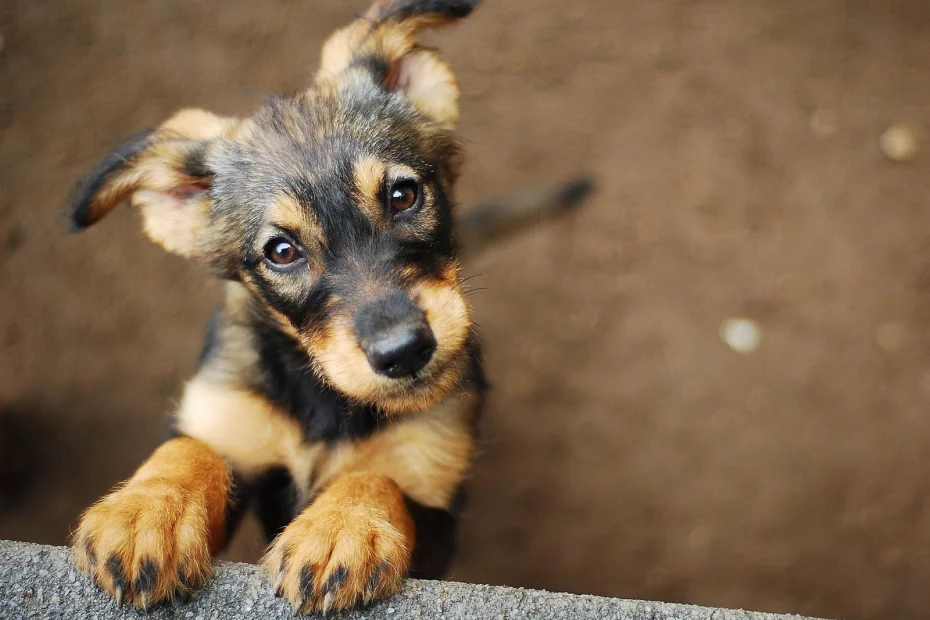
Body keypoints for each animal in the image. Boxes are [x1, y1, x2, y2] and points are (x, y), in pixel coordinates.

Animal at [67, 0, 588, 612]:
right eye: (281, 251)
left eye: (403, 195)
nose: (404, 352)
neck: (327, 400)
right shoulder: (230, 418)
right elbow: (190, 450)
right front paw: (146, 511)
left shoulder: (434, 504)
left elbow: (377, 478)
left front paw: (341, 528)